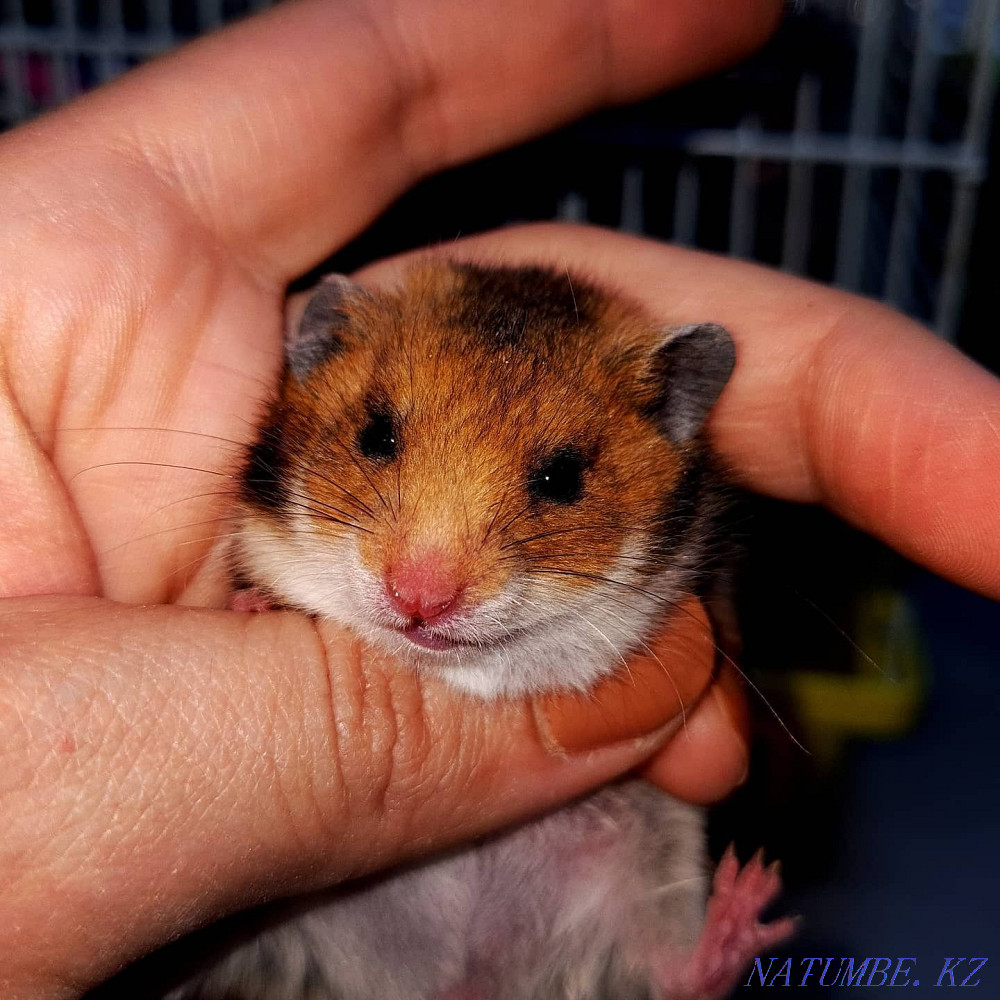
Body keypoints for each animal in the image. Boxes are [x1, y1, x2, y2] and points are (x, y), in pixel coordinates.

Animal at [171, 262, 793, 1000]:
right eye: (376, 435)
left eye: (563, 477)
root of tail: (464, 984)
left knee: (677, 975)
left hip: (652, 851)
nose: (419, 600)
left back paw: (748, 903)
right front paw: (253, 606)